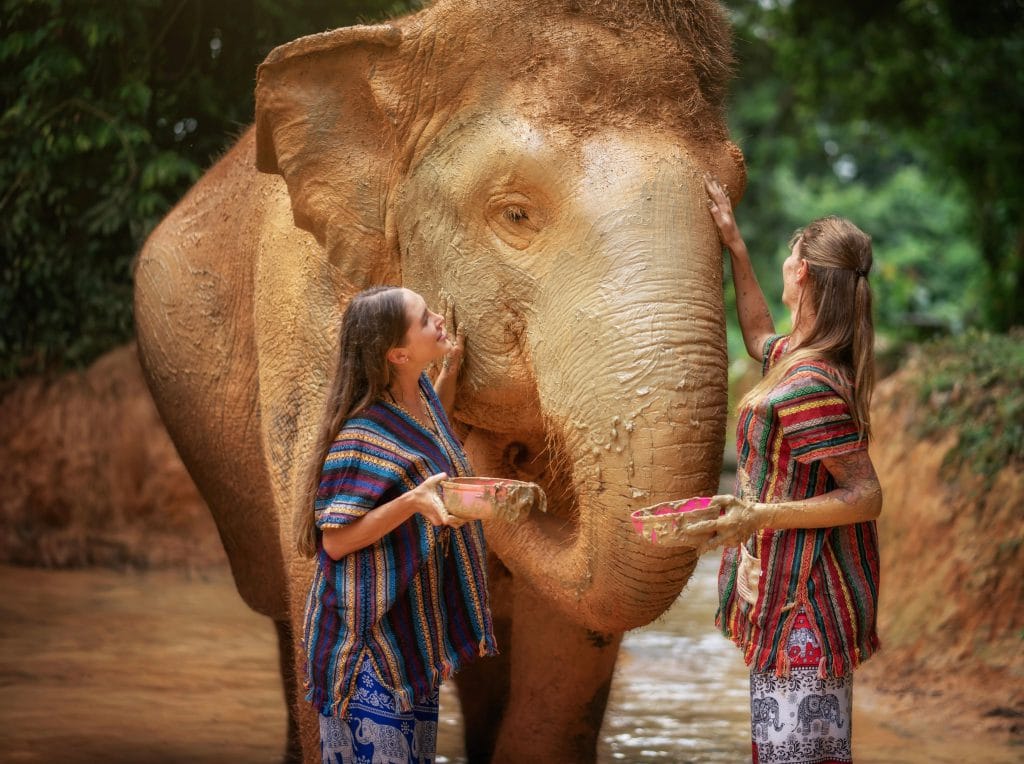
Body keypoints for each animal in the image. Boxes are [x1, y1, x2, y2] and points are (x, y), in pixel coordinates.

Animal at [132, 0, 745, 761]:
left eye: (732, 196)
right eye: (515, 213)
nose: (509, 467)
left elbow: (573, 638)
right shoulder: (303, 304)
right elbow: (319, 555)